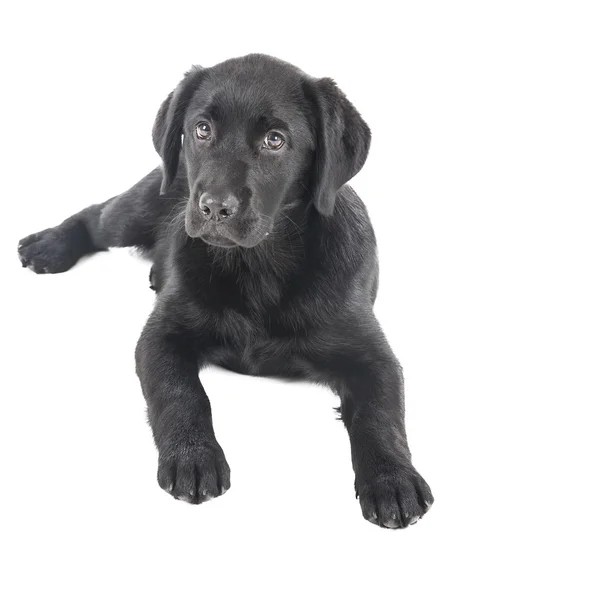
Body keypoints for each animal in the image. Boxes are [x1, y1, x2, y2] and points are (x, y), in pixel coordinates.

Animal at [17, 54, 432, 528]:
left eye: (275, 140)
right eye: (202, 129)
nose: (214, 207)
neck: (257, 264)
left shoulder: (372, 355)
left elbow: (380, 416)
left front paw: (392, 479)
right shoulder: (161, 337)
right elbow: (181, 393)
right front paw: (193, 456)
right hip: (140, 207)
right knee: (95, 215)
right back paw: (49, 245)